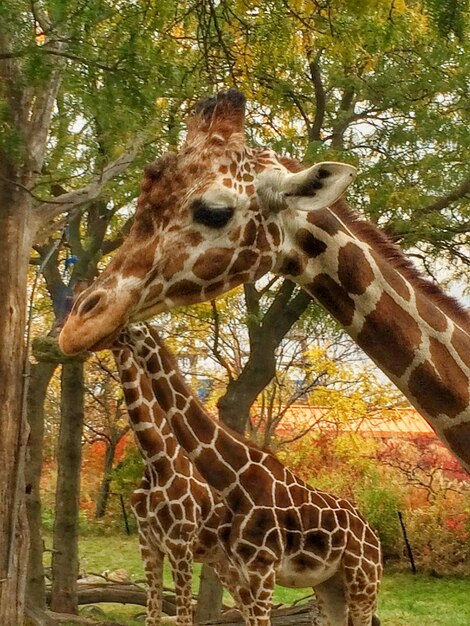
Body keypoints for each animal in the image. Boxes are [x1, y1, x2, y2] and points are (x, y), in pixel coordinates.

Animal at [112, 330, 228, 620]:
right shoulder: (148, 545)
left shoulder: (180, 546)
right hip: (223, 563)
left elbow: (184, 616)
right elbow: (152, 615)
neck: (156, 461)